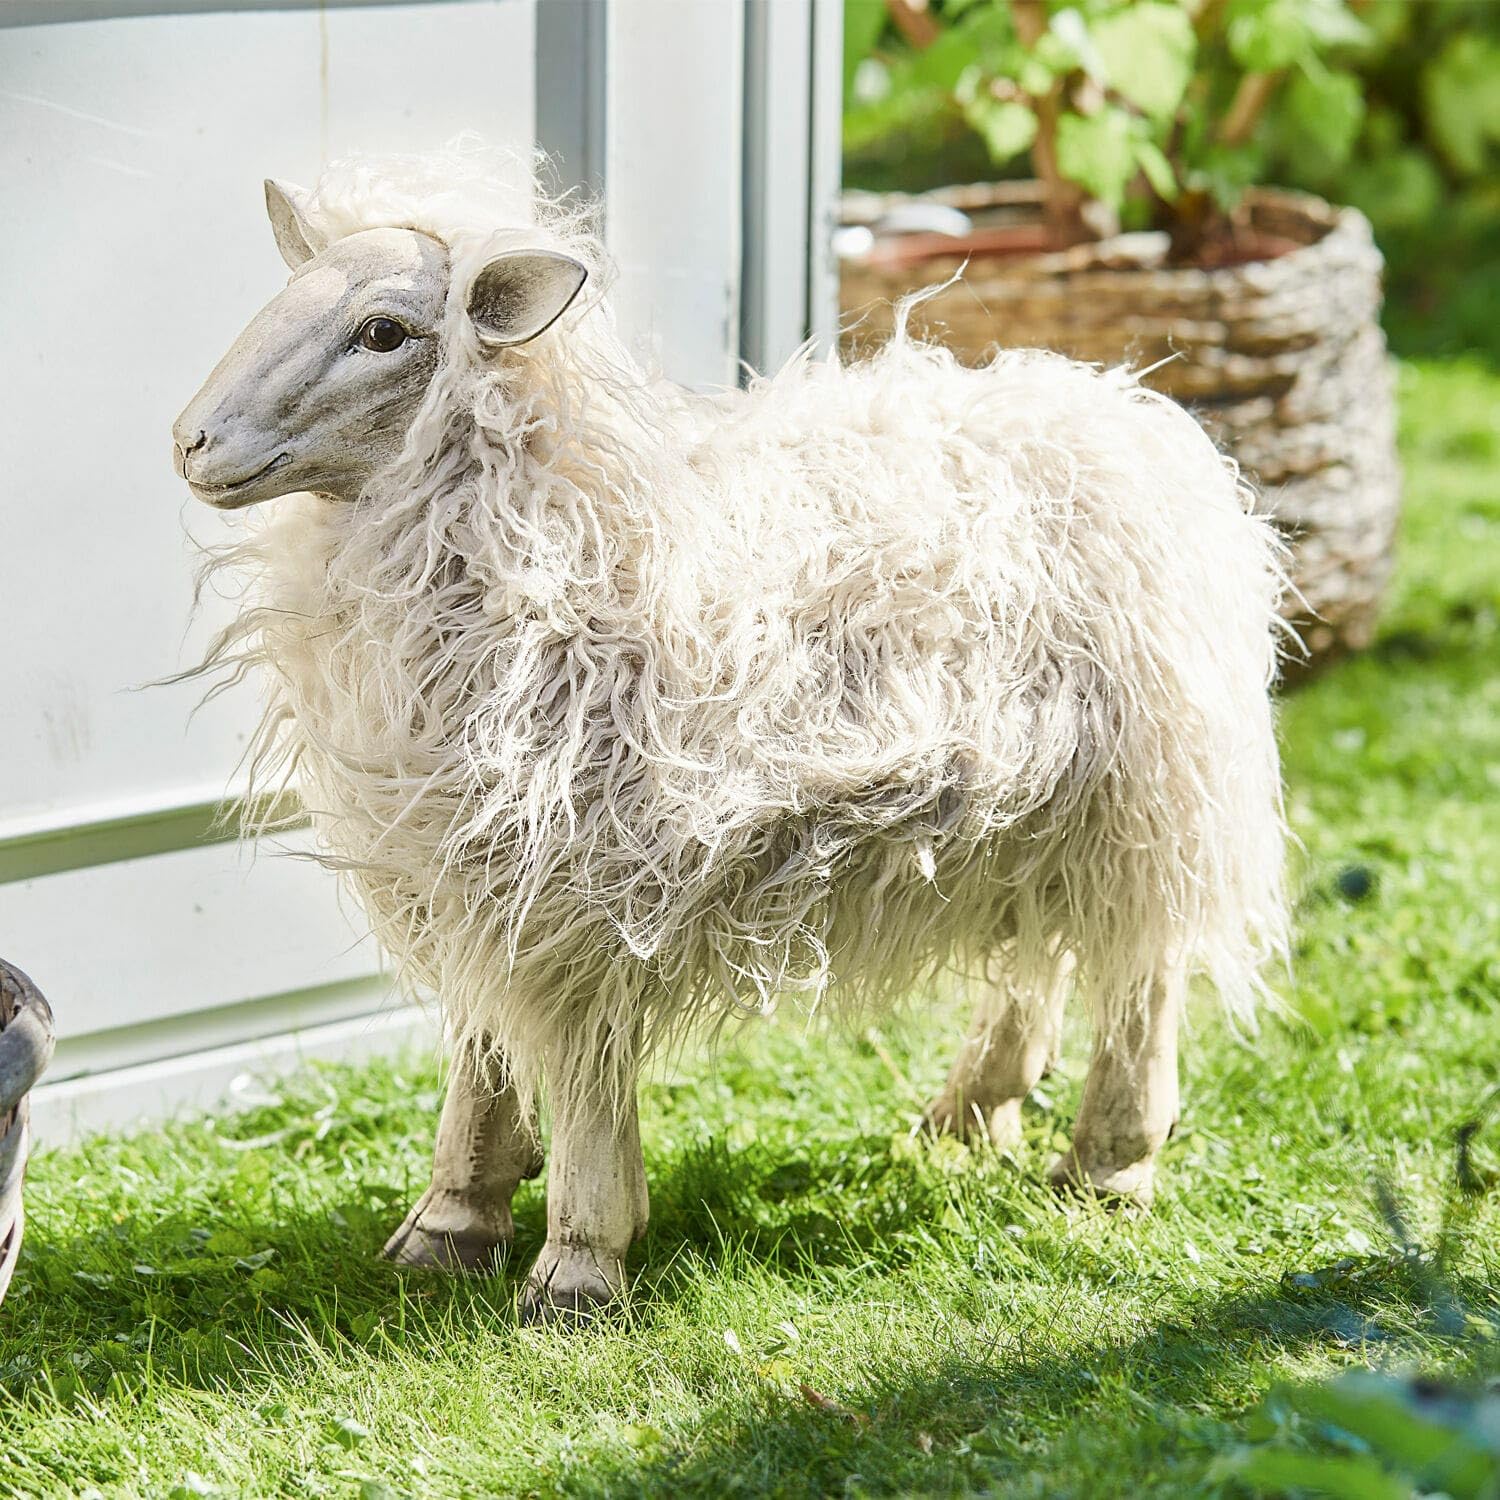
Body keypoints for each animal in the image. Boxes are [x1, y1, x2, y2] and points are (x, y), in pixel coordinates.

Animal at [172, 145, 1288, 1321]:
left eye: (384, 331)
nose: (190, 441)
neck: (558, 538)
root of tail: (1129, 410)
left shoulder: (585, 891)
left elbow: (582, 1076)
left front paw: (578, 1269)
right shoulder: (470, 863)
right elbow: (483, 1055)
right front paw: (453, 1218)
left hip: (1151, 783)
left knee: (1144, 969)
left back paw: (1113, 1162)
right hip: (1032, 807)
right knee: (1047, 949)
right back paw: (973, 1110)